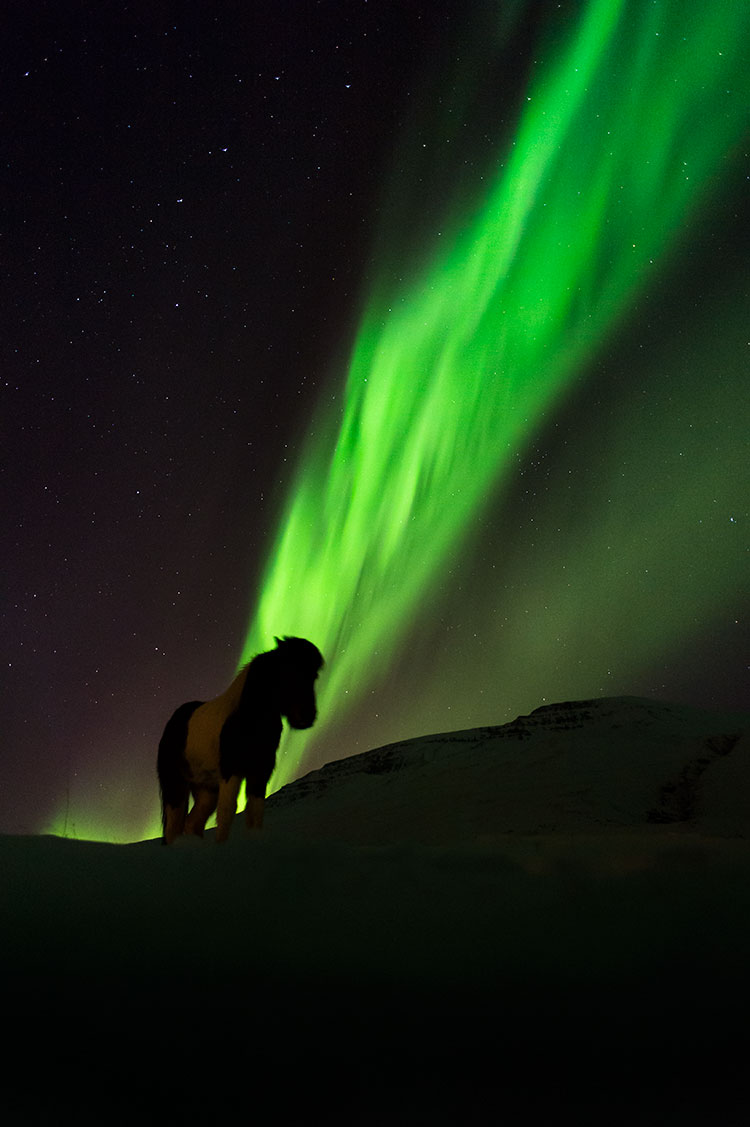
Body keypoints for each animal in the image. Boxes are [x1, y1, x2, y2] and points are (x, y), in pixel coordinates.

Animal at [156, 640, 322, 842]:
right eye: (286, 671)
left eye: (313, 676)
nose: (307, 717)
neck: (247, 718)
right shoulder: (231, 772)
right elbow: (228, 811)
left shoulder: (260, 774)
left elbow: (255, 812)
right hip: (175, 786)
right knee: (173, 826)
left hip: (206, 790)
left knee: (193, 823)